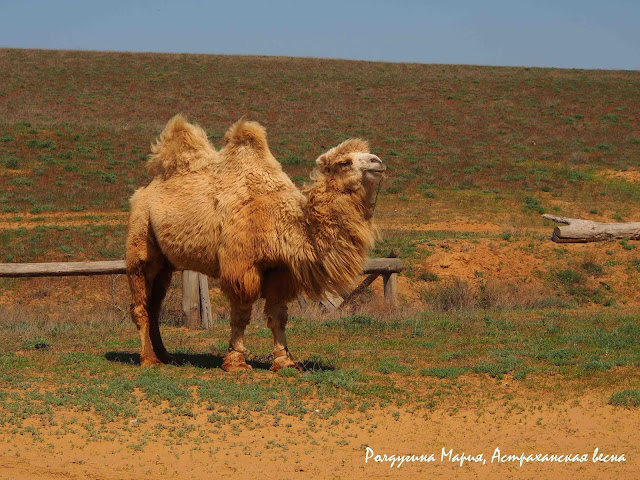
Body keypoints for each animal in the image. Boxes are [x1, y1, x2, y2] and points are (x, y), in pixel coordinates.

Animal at [125, 115, 384, 372]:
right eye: (344, 162)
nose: (377, 161)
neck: (282, 220)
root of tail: (142, 192)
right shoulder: (241, 265)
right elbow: (240, 314)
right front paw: (236, 361)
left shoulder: (279, 268)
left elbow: (278, 315)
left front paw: (285, 361)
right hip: (141, 236)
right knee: (141, 303)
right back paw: (148, 359)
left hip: (165, 263)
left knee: (155, 305)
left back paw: (166, 356)